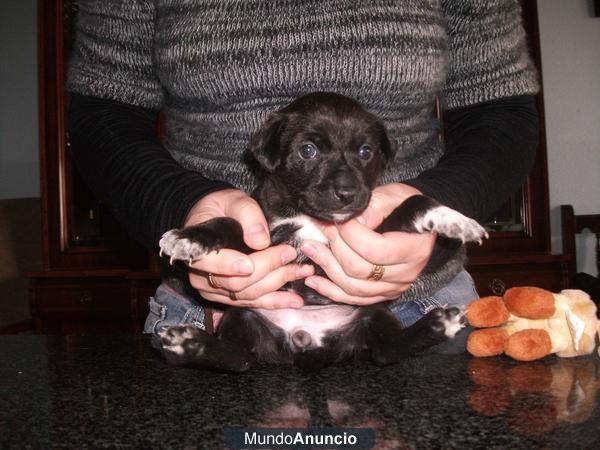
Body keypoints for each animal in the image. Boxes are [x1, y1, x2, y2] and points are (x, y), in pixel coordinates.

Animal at [156, 92, 488, 372]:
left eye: (365, 151)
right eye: (308, 150)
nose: (347, 192)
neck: (313, 218)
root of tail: (306, 341)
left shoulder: (370, 228)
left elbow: (412, 202)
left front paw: (451, 219)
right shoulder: (265, 241)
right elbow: (231, 223)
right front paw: (190, 237)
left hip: (373, 311)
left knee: (388, 351)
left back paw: (439, 324)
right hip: (242, 313)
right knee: (241, 360)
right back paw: (189, 343)